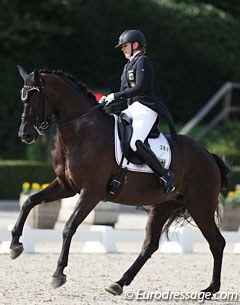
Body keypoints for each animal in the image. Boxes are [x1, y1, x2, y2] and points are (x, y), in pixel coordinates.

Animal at [11, 65, 229, 296]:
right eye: (23, 97)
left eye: (34, 97)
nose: (25, 135)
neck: (82, 131)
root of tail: (209, 155)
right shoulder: (65, 186)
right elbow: (29, 201)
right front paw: (15, 245)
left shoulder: (91, 192)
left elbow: (69, 227)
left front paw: (58, 273)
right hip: (164, 206)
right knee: (150, 245)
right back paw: (118, 283)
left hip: (200, 205)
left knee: (217, 242)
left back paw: (211, 288)